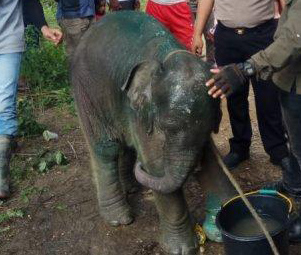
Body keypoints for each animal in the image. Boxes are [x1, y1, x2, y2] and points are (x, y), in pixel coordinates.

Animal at [71, 10, 233, 254]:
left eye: (212, 125)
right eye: (166, 127)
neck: (167, 55)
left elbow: (210, 162)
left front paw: (219, 231)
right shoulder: (139, 110)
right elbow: (156, 166)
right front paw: (181, 249)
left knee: (125, 147)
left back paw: (132, 189)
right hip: (87, 91)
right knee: (107, 149)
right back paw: (119, 219)